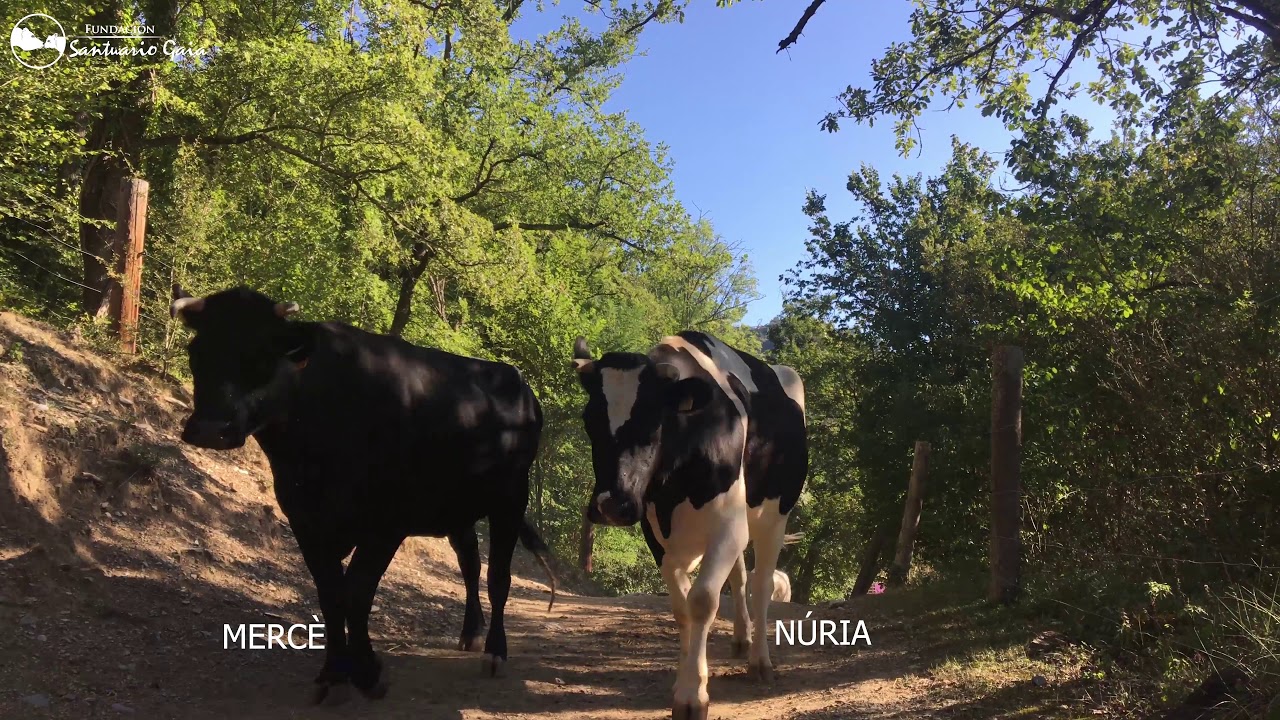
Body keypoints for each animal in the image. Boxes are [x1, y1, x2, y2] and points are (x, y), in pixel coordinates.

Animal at [169, 284, 555, 703]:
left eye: (261, 355)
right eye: (196, 352)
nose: (210, 428)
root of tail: (518, 383)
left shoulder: (386, 523)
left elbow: (356, 593)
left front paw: (367, 672)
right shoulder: (305, 519)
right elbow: (330, 594)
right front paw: (334, 672)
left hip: (511, 498)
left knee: (498, 575)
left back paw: (495, 651)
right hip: (456, 509)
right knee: (470, 563)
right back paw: (470, 632)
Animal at [571, 331, 807, 720]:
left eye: (654, 422)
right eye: (589, 421)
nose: (610, 505)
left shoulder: (728, 528)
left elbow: (702, 600)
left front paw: (693, 695)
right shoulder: (658, 537)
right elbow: (681, 608)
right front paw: (684, 678)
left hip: (775, 516)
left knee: (761, 585)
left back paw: (760, 661)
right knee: (740, 577)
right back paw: (741, 639)